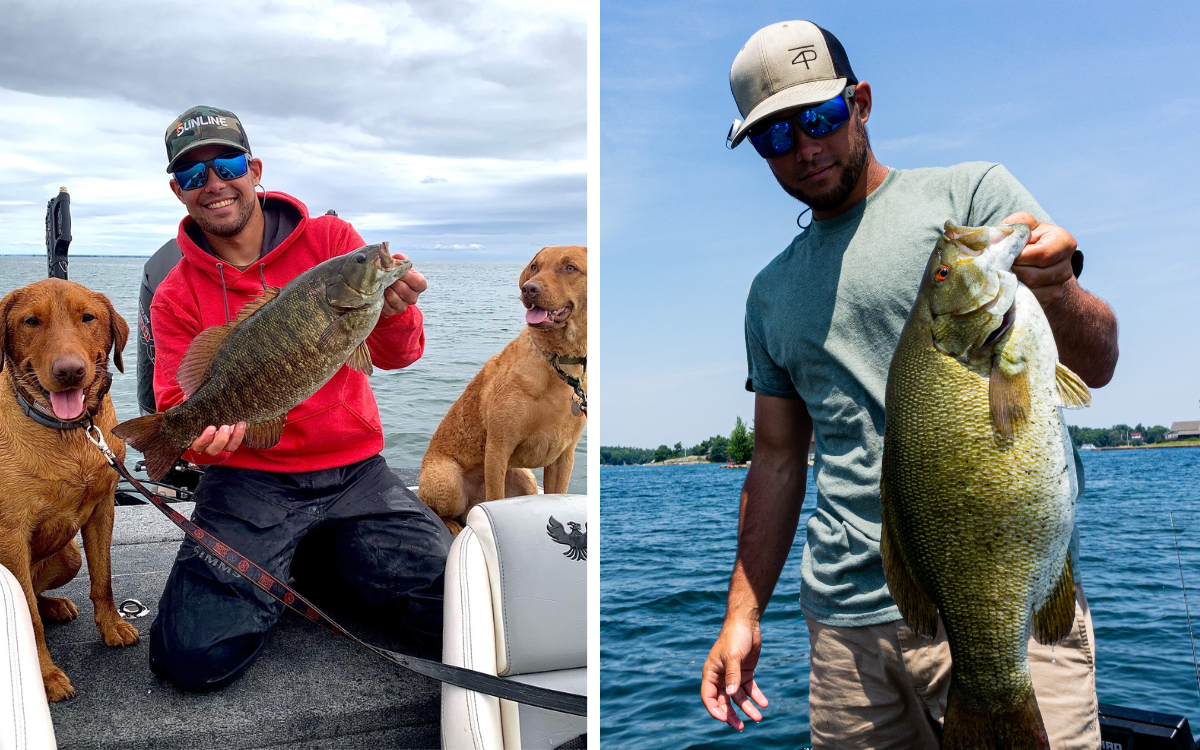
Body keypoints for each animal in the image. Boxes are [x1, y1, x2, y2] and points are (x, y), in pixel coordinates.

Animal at [0, 278, 139, 700]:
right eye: (31, 321)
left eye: (88, 317)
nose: (70, 371)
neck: (70, 434)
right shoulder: (11, 536)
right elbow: (26, 618)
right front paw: (44, 677)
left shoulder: (102, 508)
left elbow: (103, 579)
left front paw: (112, 626)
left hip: (68, 556)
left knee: (41, 592)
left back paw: (55, 605)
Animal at [420, 246, 588, 532]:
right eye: (534, 267)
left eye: (570, 268)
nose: (529, 289)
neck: (557, 361)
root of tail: (470, 505)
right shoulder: (498, 447)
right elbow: (495, 498)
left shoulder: (564, 456)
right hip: (448, 482)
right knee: (438, 510)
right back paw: (453, 525)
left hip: (526, 480)